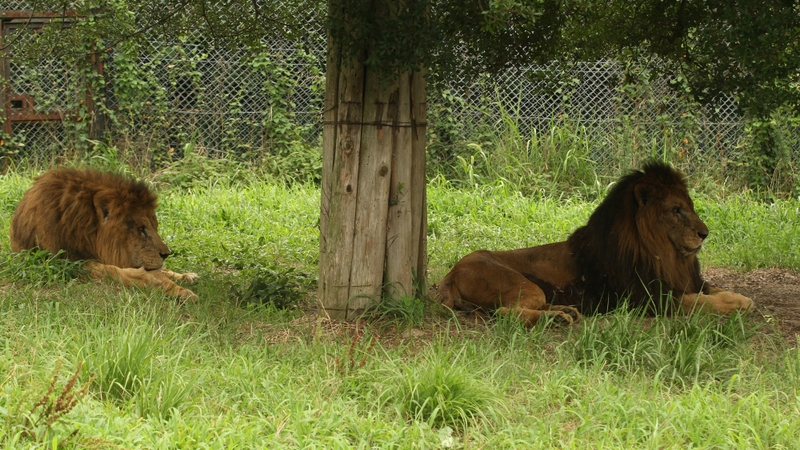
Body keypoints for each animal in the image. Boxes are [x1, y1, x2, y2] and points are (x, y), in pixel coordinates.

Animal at [9, 168, 197, 299]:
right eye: (141, 229)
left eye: (153, 225)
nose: (166, 254)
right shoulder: (62, 261)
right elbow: (108, 270)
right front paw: (146, 279)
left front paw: (181, 289)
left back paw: (187, 276)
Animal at [438, 161, 753, 326]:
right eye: (676, 210)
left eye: (690, 207)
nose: (705, 233)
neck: (665, 255)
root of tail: (451, 272)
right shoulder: (647, 298)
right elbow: (700, 301)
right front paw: (737, 302)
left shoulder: (683, 281)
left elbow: (711, 289)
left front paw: (739, 296)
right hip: (524, 285)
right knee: (506, 312)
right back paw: (558, 318)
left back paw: (565, 312)